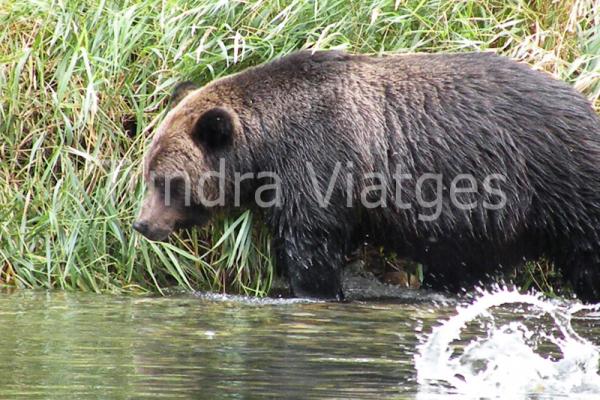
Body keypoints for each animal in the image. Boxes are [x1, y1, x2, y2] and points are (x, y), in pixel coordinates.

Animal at [134, 49, 600, 300]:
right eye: (147, 174)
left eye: (167, 182)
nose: (142, 224)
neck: (269, 149)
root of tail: (584, 102)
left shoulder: (322, 162)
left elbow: (311, 249)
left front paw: (312, 288)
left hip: (559, 178)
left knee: (587, 252)